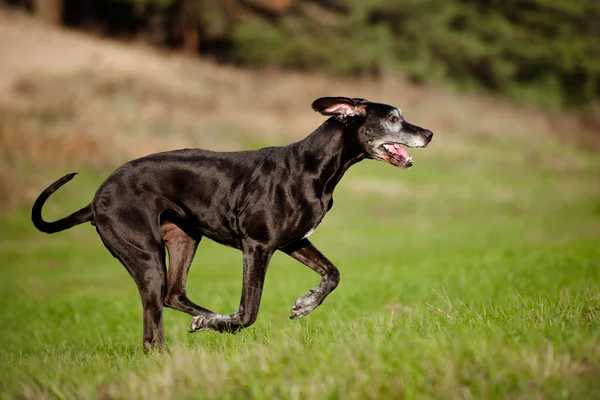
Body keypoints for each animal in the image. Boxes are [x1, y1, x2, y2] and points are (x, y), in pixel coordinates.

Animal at [31, 95, 432, 348]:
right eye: (393, 118)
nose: (428, 133)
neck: (314, 167)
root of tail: (96, 198)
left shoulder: (293, 241)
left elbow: (332, 274)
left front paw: (305, 303)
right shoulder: (257, 246)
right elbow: (249, 312)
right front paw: (229, 322)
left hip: (184, 239)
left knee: (173, 295)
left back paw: (207, 319)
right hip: (146, 254)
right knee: (153, 323)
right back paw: (191, 335)